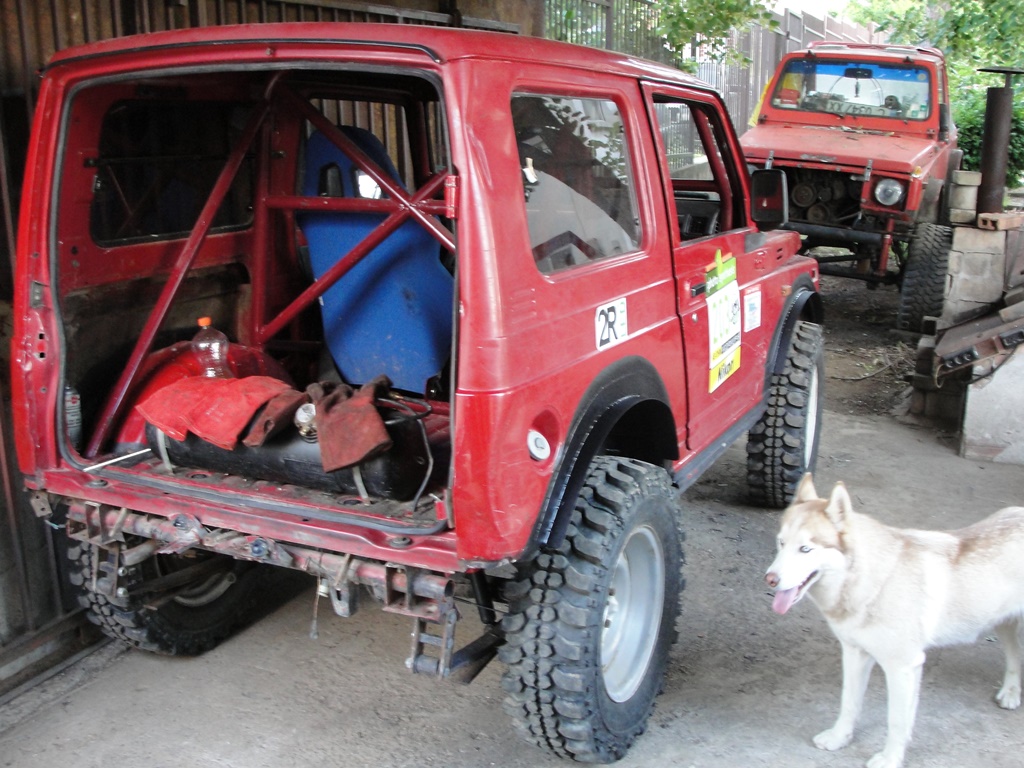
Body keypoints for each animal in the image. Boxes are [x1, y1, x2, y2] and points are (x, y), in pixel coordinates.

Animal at [765, 473, 1024, 768]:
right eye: (781, 543)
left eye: (806, 549)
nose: (769, 579)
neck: (875, 581)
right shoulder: (854, 654)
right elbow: (849, 703)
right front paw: (839, 738)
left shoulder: (903, 667)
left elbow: (896, 721)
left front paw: (890, 759)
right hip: (1003, 622)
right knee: (1015, 654)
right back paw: (1011, 692)